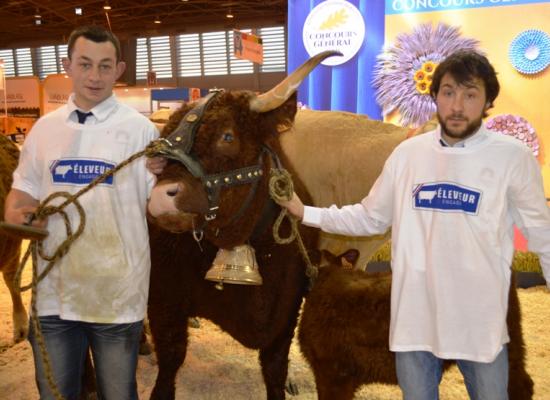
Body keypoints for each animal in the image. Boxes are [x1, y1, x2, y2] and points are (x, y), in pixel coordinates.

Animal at [144, 52, 338, 396]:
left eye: (227, 136)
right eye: (162, 147)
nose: (160, 199)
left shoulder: (285, 315)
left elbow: (275, 369)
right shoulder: (163, 298)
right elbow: (171, 361)